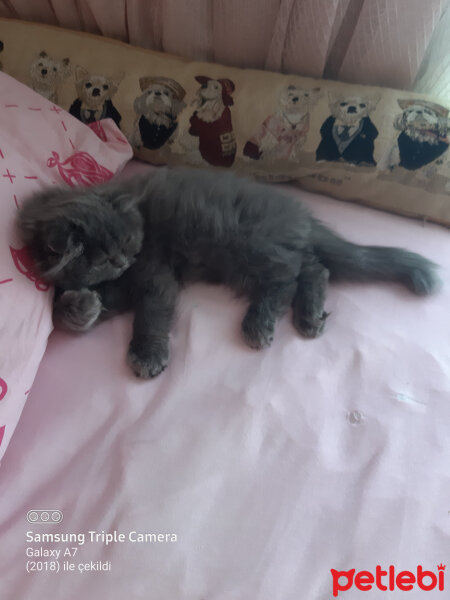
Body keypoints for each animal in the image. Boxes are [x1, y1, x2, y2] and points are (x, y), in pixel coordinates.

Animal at [19, 166, 442, 378]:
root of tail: (303, 216)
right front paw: (81, 307)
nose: (123, 261)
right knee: (313, 269)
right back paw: (308, 316)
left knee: (290, 277)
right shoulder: (122, 284)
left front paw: (146, 354)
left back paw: (259, 324)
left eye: (125, 245)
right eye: (103, 259)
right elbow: (69, 310)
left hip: (245, 246)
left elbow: (151, 314)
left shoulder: (155, 273)